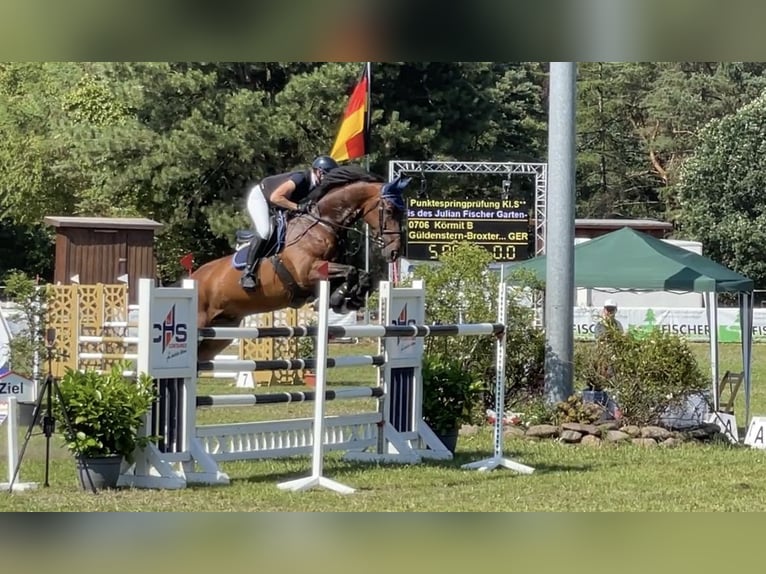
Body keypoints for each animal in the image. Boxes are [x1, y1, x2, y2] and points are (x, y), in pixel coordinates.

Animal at [191, 166, 410, 361]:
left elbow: (362, 274)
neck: (322, 224)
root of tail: (193, 276)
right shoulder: (307, 273)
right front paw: (339, 299)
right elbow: (351, 272)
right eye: (389, 210)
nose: (395, 251)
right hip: (202, 321)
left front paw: (348, 299)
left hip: (222, 332)